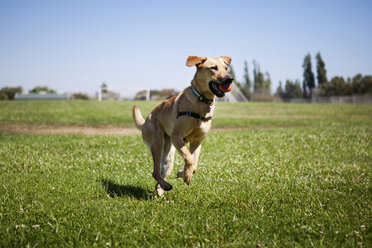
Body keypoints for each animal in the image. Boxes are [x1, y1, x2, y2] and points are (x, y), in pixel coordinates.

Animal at [133, 55, 232, 196]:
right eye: (214, 68)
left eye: (226, 68)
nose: (230, 79)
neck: (201, 101)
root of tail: (146, 121)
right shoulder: (177, 137)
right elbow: (189, 158)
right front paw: (186, 175)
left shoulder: (197, 142)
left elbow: (194, 164)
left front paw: (183, 173)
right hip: (157, 144)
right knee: (155, 172)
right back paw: (165, 185)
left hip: (168, 159)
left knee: (160, 174)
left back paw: (162, 189)